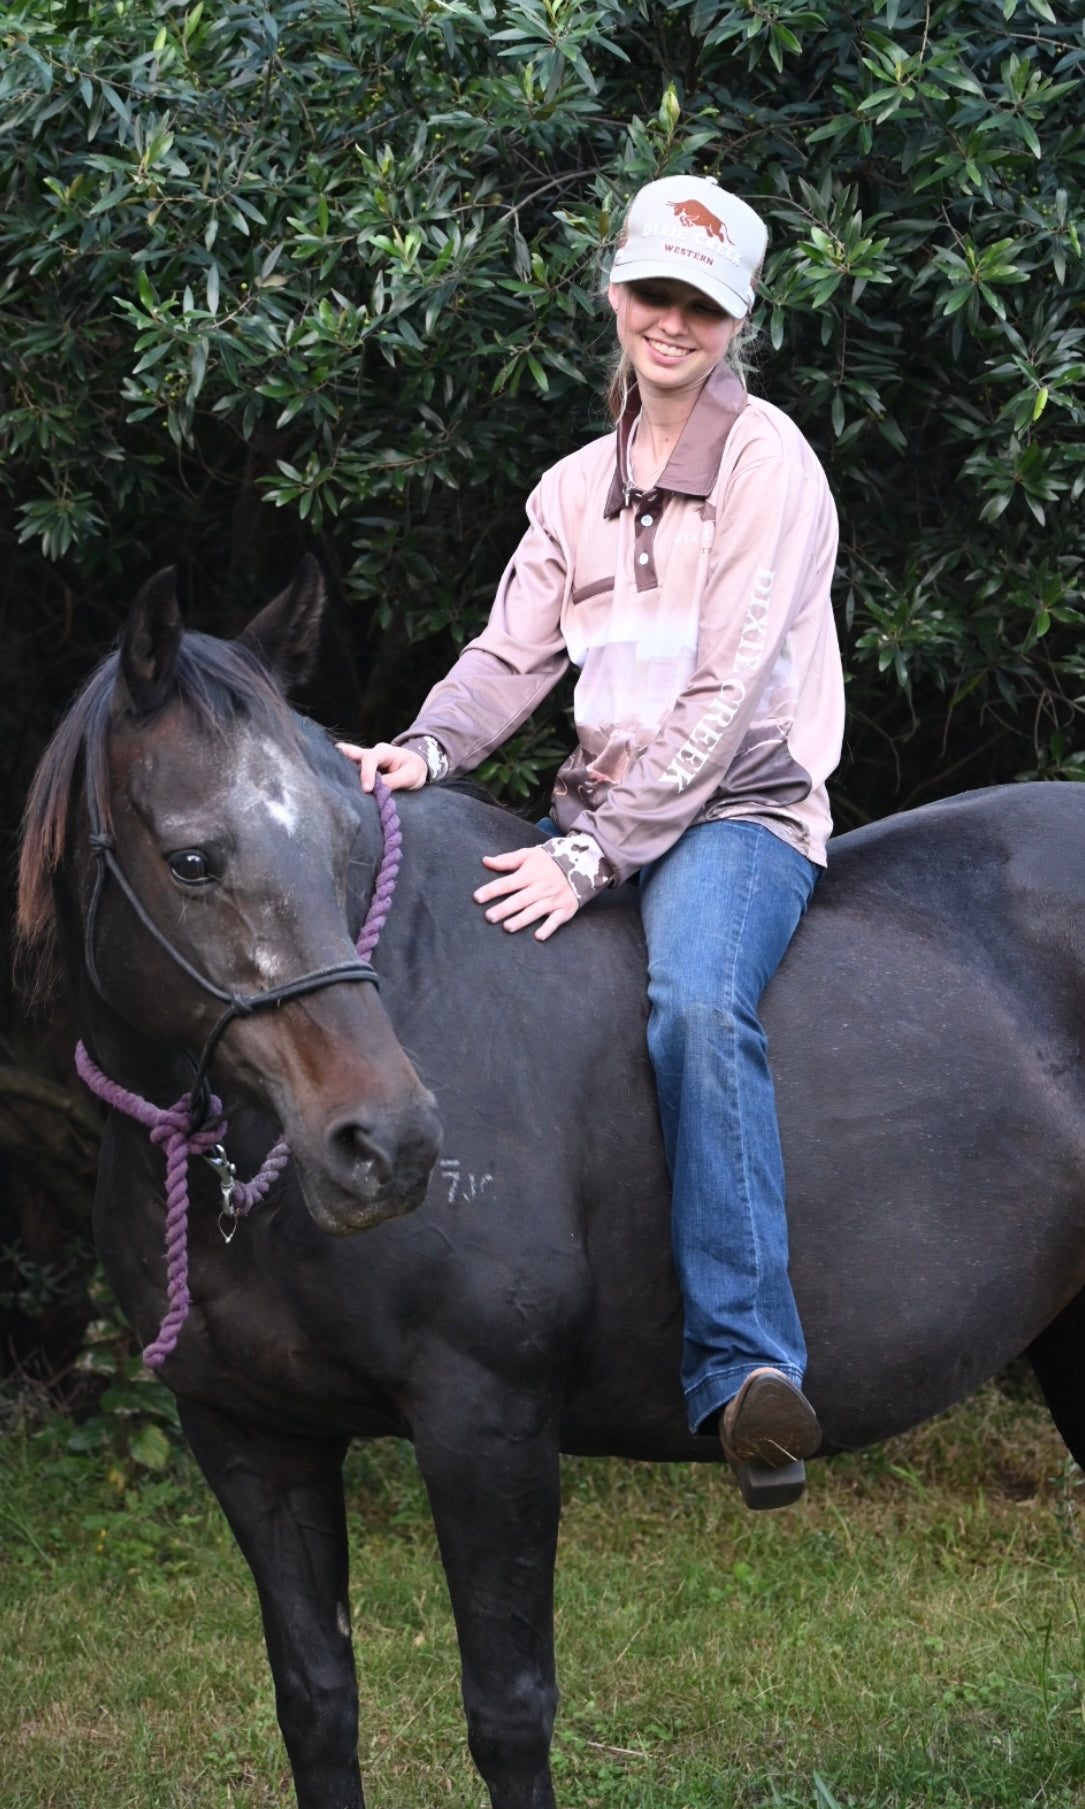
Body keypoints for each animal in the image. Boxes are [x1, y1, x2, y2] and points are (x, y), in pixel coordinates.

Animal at [19, 560, 1085, 1794]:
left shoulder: (487, 1421)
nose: (386, 1143)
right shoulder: (250, 1438)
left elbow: (507, 1713)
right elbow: (316, 1704)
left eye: (336, 840)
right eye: (193, 857)